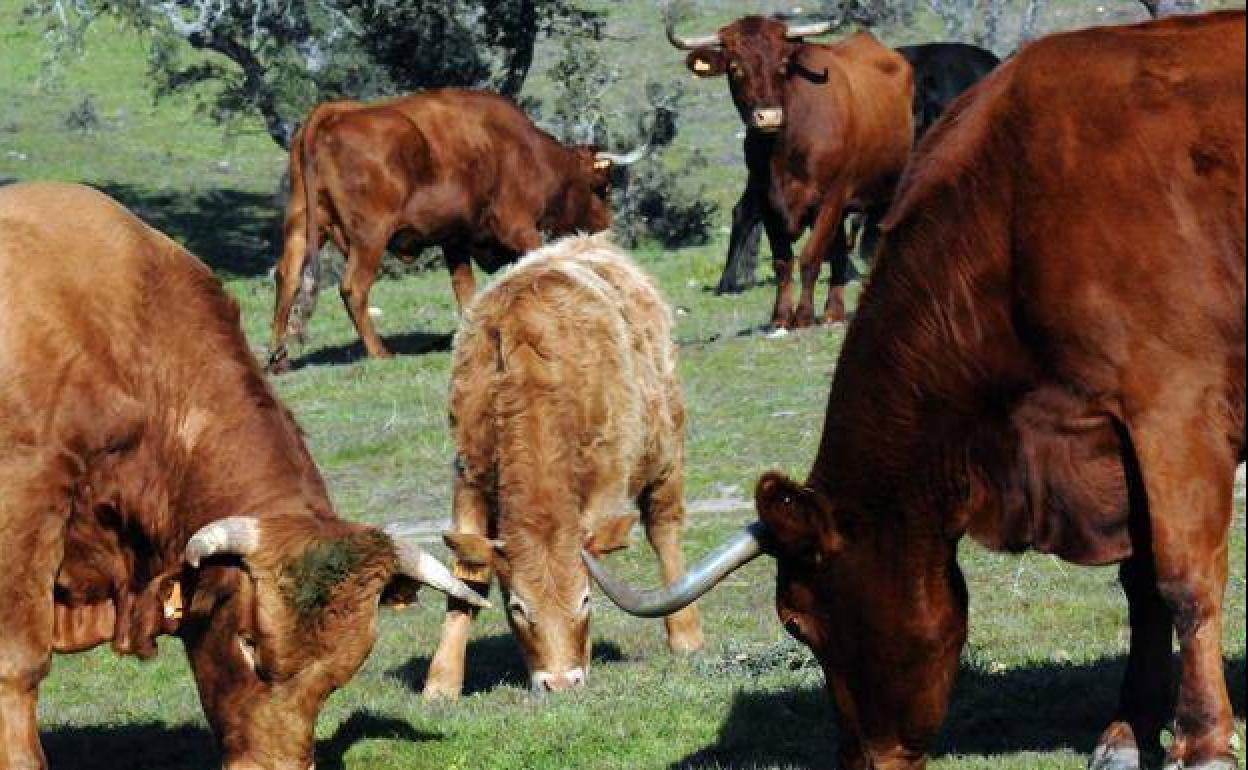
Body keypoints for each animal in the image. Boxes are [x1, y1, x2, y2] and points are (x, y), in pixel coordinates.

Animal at [268, 88, 648, 371]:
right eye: (603, 188)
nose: (606, 231)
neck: (527, 150)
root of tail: (332, 113)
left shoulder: (455, 239)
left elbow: (465, 290)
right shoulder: (518, 227)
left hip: (303, 226)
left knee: (288, 277)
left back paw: (278, 358)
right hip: (369, 237)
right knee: (353, 288)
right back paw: (380, 352)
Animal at [419, 234, 708, 698]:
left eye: (585, 600)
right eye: (517, 607)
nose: (560, 682)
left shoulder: (605, 483)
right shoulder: (468, 480)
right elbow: (466, 582)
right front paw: (442, 681)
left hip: (667, 455)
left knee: (664, 530)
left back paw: (685, 634)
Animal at [668, 14, 913, 326]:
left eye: (783, 65)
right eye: (735, 67)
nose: (769, 116)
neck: (782, 151)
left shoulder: (831, 198)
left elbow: (810, 258)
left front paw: (804, 316)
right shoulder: (768, 203)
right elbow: (783, 263)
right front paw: (781, 317)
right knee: (837, 254)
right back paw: (833, 311)